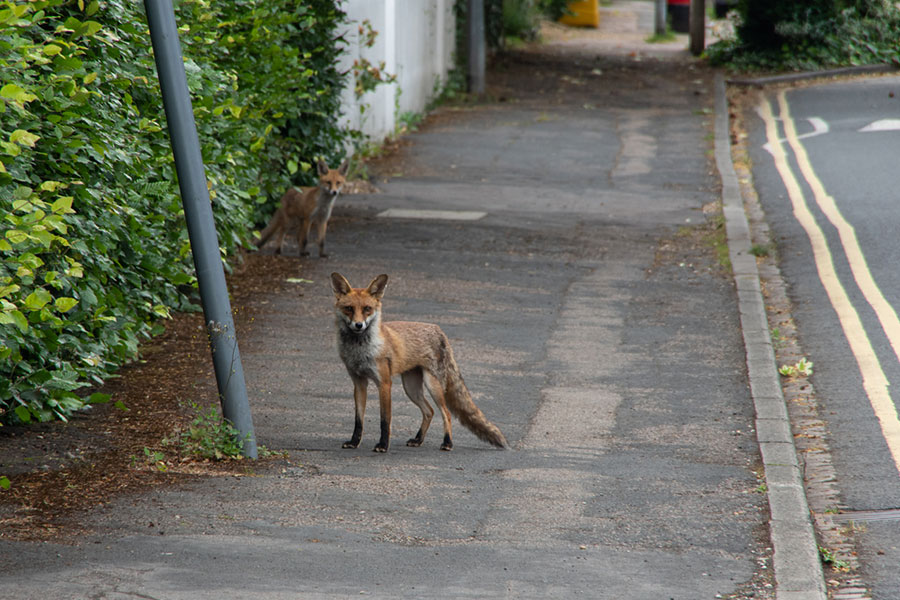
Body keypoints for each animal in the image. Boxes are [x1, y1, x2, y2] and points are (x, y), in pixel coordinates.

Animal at [330, 272, 509, 453]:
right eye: (349, 308)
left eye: (367, 309)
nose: (358, 325)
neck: (360, 350)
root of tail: (439, 331)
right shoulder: (359, 382)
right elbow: (358, 420)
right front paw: (354, 442)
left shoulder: (385, 384)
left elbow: (385, 420)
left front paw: (383, 445)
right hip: (411, 388)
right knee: (429, 411)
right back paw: (418, 439)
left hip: (432, 385)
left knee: (446, 413)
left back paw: (447, 442)